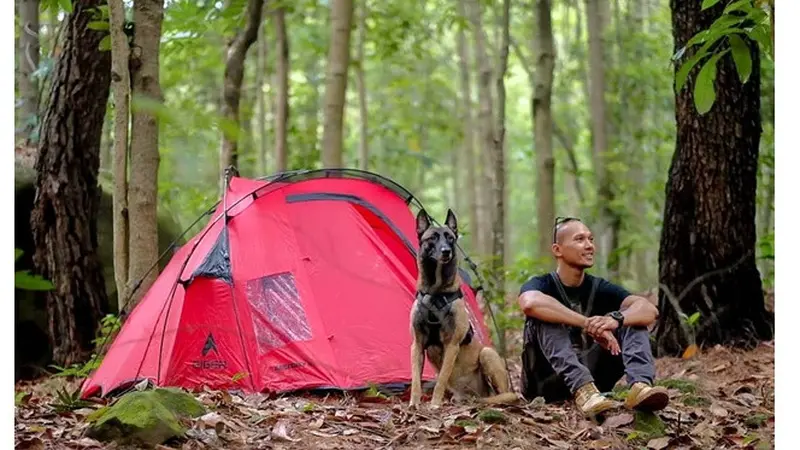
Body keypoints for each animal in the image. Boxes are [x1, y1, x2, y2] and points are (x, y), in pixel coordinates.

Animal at [406, 209, 520, 410]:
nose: (446, 251)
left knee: (506, 394)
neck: (436, 293)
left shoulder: (451, 345)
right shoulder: (417, 344)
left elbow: (441, 379)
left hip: (487, 354)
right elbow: (416, 380)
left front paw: (434, 404)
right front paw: (414, 403)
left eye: (450, 238)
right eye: (432, 238)